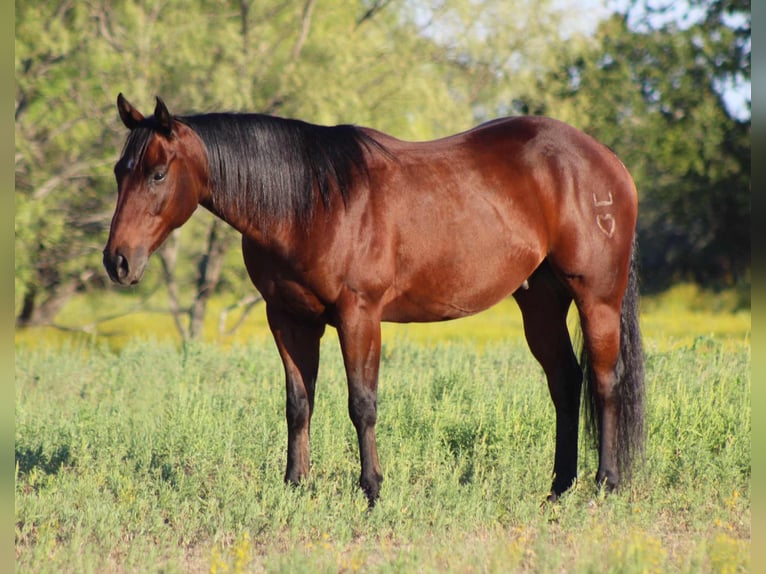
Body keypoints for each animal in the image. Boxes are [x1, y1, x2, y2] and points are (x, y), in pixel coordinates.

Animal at [103, 94, 644, 506]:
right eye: (118, 171)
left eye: (157, 174)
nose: (118, 261)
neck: (309, 203)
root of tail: (607, 162)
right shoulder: (288, 319)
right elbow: (298, 403)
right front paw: (295, 485)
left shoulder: (359, 315)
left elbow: (361, 402)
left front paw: (371, 489)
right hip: (540, 303)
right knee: (565, 382)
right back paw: (558, 488)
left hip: (596, 297)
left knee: (603, 381)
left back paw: (606, 484)